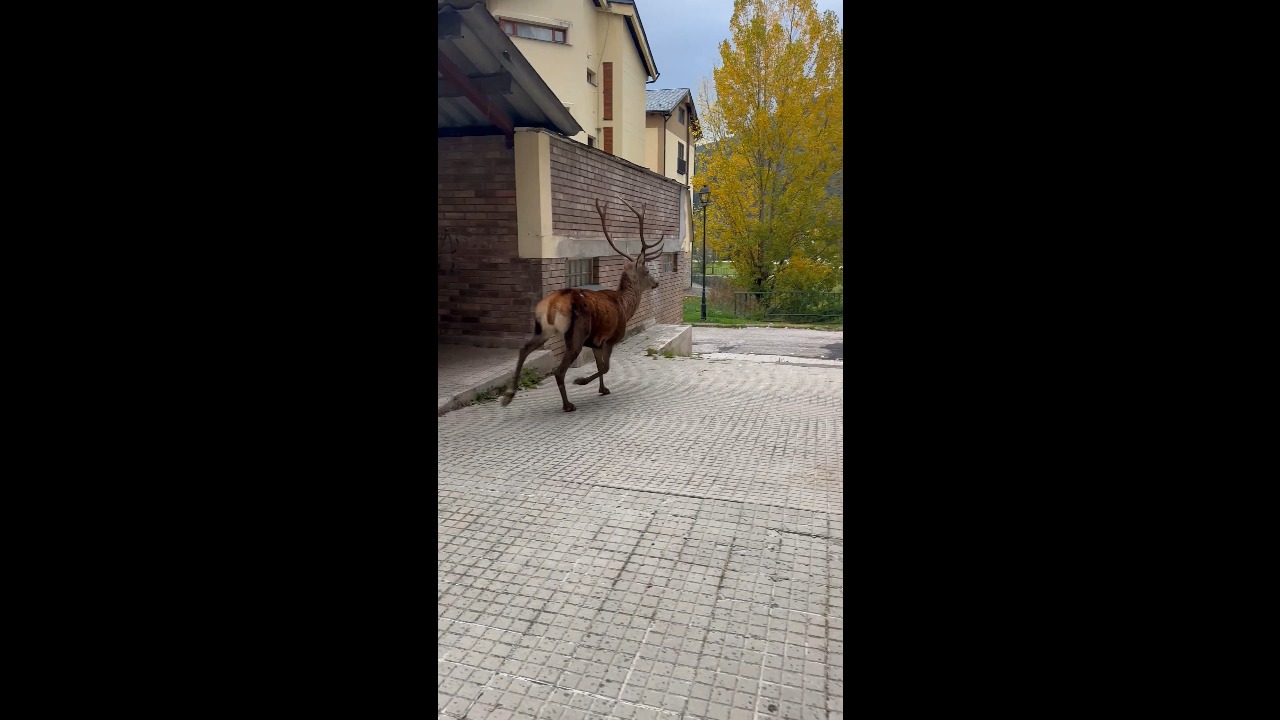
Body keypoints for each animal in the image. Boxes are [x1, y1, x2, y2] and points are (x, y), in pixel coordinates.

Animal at [500, 197, 664, 412]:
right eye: (647, 271)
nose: (656, 283)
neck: (625, 306)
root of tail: (554, 302)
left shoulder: (595, 341)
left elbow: (599, 366)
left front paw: (603, 389)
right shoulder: (611, 337)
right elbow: (606, 367)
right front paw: (582, 381)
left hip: (544, 329)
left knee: (524, 349)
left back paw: (508, 396)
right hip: (577, 332)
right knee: (558, 371)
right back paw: (568, 404)